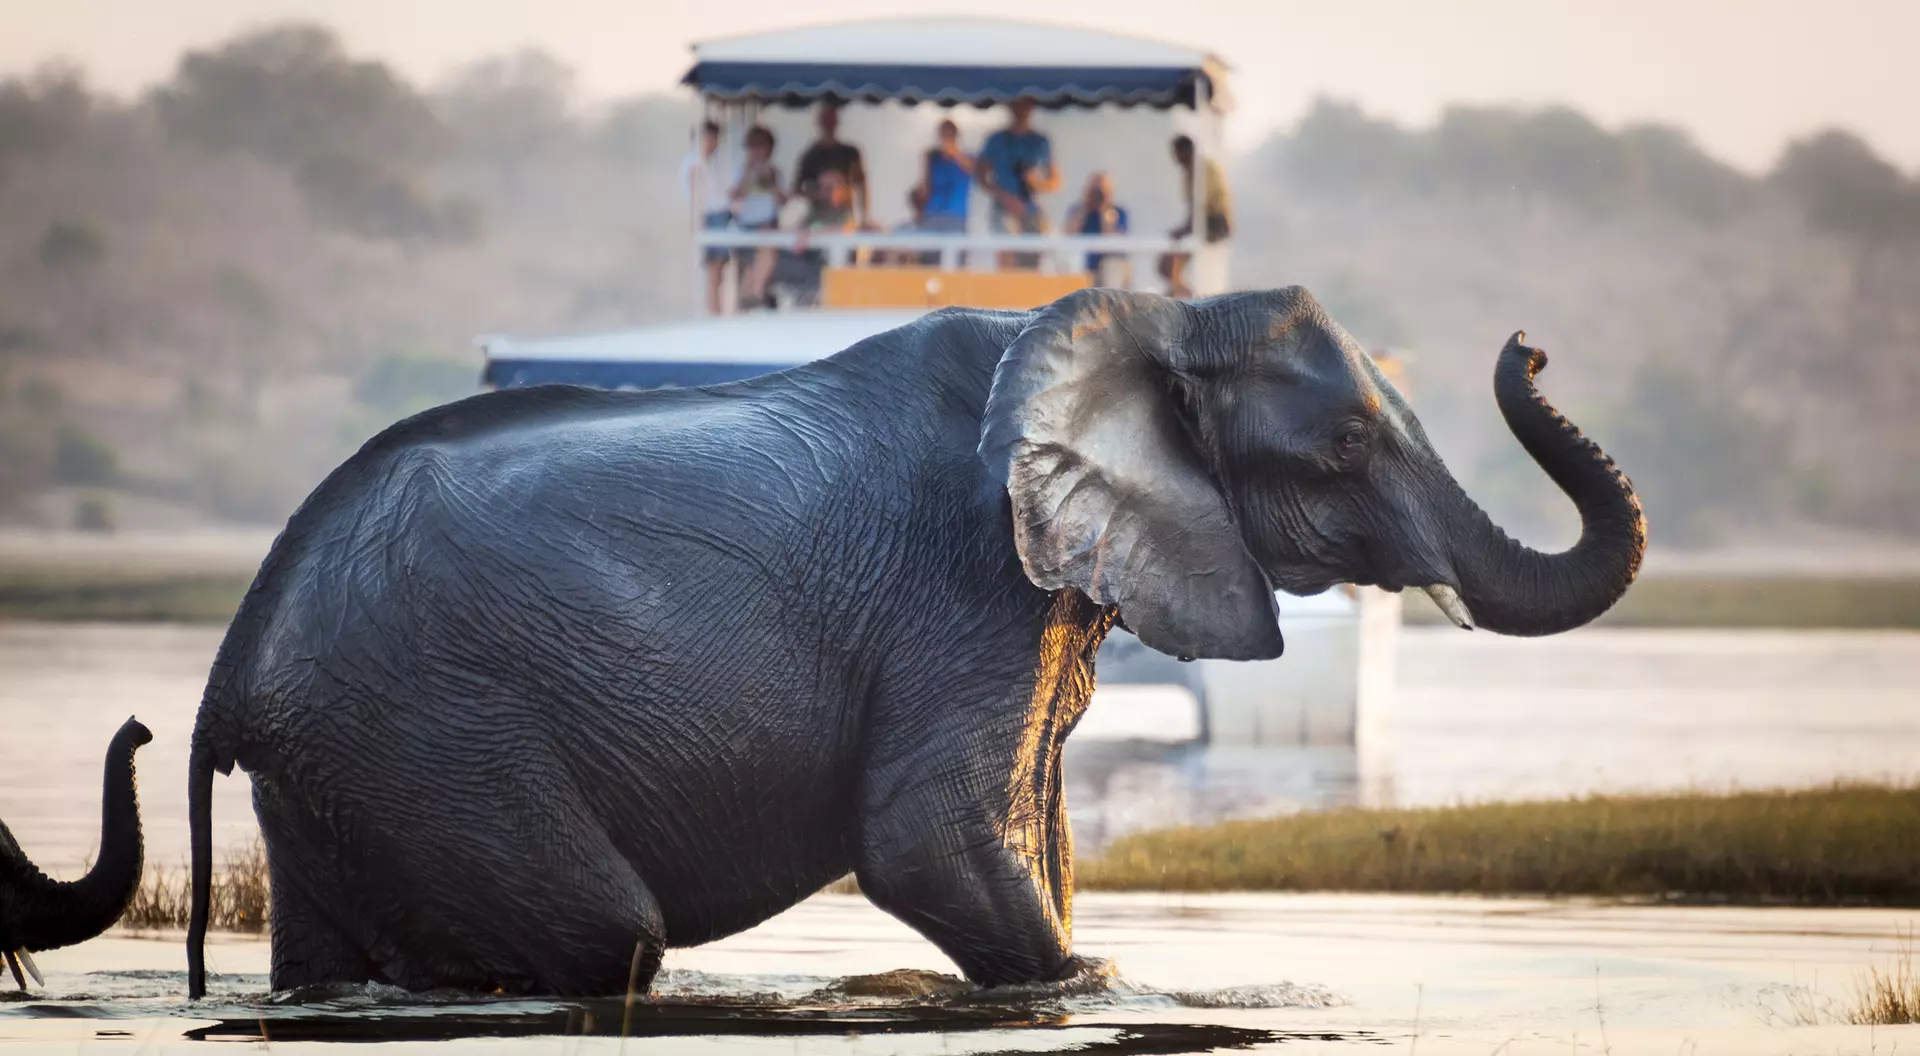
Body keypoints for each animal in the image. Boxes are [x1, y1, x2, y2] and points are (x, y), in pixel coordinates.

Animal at [185, 287, 1644, 999]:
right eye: (1342, 446)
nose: (1530, 345)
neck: (1134, 325)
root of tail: (232, 674)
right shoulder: (962, 583)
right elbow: (925, 837)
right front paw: (1093, 983)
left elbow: (1035, 835)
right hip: (432, 733)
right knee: (606, 934)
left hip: (351, 765)